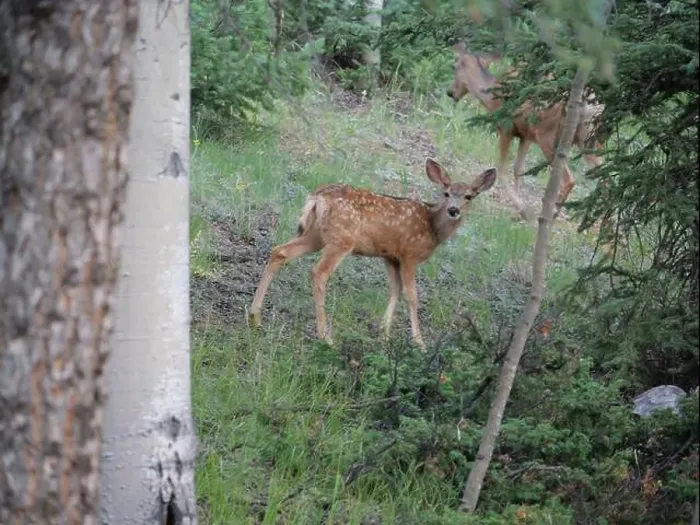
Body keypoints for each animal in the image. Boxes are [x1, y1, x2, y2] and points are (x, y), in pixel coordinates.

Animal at [248, 159, 498, 351]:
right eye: (446, 193)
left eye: (469, 196)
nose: (453, 210)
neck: (433, 228)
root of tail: (317, 198)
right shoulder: (409, 254)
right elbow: (412, 295)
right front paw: (419, 343)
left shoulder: (390, 256)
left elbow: (395, 290)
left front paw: (384, 334)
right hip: (342, 239)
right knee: (319, 272)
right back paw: (325, 337)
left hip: (316, 235)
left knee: (280, 251)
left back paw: (255, 318)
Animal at [446, 42, 605, 217]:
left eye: (454, 66)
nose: (450, 92)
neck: (491, 95)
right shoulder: (526, 135)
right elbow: (518, 169)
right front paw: (516, 211)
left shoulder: (506, 129)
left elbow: (501, 169)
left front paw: (520, 207)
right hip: (589, 140)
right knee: (606, 178)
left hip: (548, 136)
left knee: (570, 179)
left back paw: (551, 214)